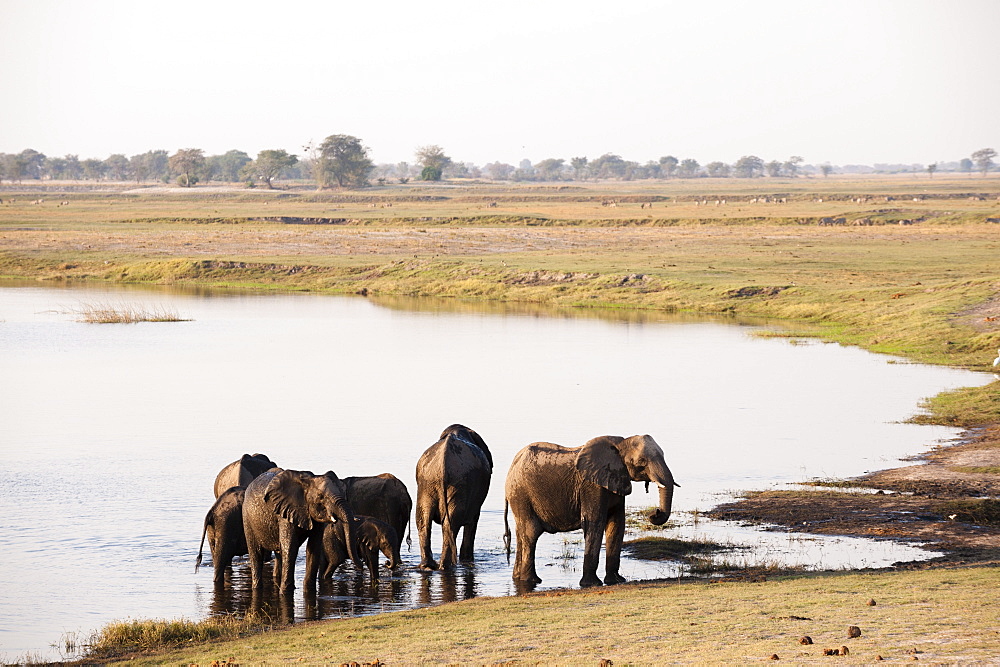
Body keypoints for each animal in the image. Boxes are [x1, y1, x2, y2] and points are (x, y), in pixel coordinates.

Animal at [414, 426, 492, 572]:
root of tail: (443, 462)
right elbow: (473, 521)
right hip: (458, 485)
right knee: (451, 523)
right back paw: (445, 566)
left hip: (427, 485)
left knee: (423, 520)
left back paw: (429, 566)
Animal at [504, 436, 676, 588]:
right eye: (642, 461)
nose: (654, 512)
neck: (620, 444)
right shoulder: (591, 485)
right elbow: (595, 522)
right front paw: (592, 584)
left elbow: (617, 524)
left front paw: (617, 581)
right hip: (521, 494)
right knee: (531, 532)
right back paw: (532, 580)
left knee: (521, 533)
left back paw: (518, 578)